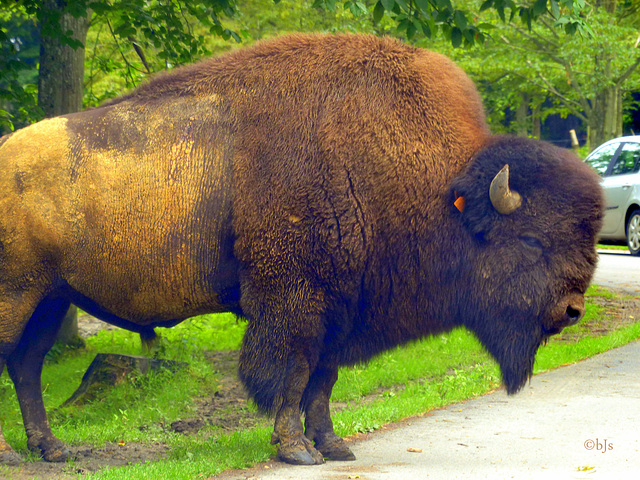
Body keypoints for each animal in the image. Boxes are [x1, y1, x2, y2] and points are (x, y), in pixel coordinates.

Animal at [0, 32, 604, 464]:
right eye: (531, 239)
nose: (572, 310)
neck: (438, 189)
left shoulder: (342, 307)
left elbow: (322, 379)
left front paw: (334, 445)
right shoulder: (295, 300)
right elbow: (292, 373)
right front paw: (295, 449)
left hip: (51, 298)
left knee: (26, 365)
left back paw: (52, 449)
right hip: (18, 296)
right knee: (14, 360)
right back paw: (19, 451)